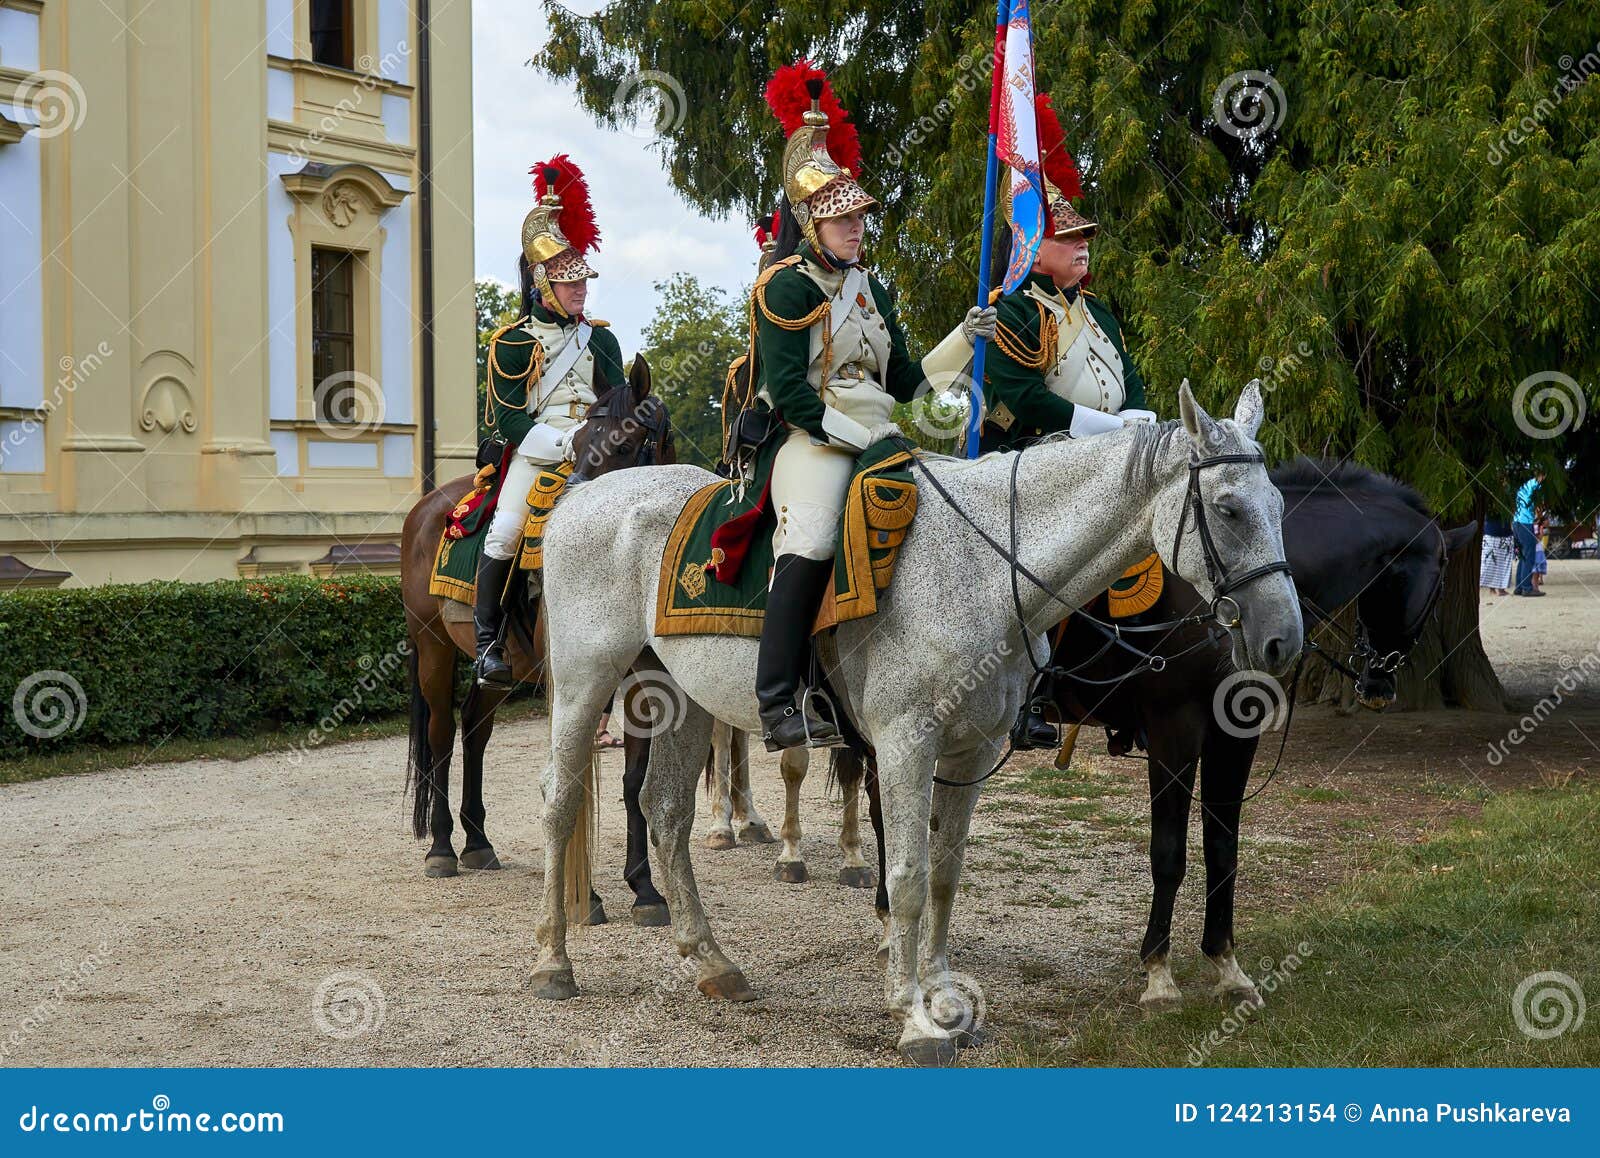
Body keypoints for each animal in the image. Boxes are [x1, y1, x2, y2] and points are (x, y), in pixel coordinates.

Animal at [403, 350, 678, 921]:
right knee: (440, 735)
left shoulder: (645, 679)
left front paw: (644, 888)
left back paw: (478, 842)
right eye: (578, 443)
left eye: (624, 445)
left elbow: (634, 780)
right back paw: (442, 848)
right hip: (433, 648)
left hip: (497, 669)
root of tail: (428, 506)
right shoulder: (569, 679)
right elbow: (570, 775)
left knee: (474, 728)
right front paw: (586, 897)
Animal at [531, 383, 1305, 1062]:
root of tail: (578, 499)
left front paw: (940, 993)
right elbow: (904, 874)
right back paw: (553, 961)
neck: (983, 569)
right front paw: (913, 1015)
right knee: (562, 804)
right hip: (586, 683)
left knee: (666, 811)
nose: (1283, 642)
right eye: (1229, 509)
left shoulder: (971, 753)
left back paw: (712, 962)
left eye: (1279, 504)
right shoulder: (907, 744)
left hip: (682, 698)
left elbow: (944, 873)